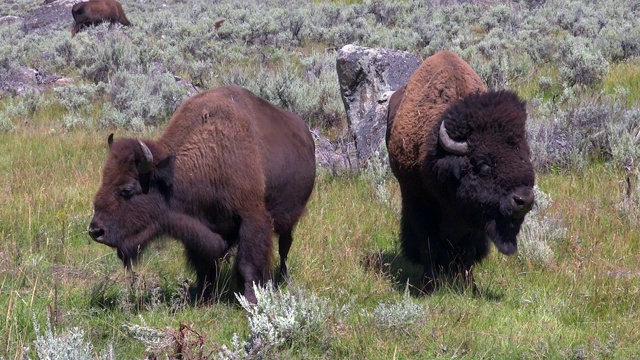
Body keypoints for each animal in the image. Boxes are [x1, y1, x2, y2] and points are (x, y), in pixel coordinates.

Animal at [87, 85, 318, 304]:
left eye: (127, 189)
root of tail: (305, 133)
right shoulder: (195, 227)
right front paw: (203, 295)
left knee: (284, 246)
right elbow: (204, 265)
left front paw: (251, 300)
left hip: (290, 217)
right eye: (104, 180)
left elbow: (248, 264)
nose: (95, 231)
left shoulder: (252, 217)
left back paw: (283, 278)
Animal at [384, 50, 536, 292]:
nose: (524, 200)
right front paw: (429, 285)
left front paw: (469, 286)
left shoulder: (475, 217)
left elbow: (468, 251)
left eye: (524, 155)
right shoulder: (417, 201)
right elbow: (428, 244)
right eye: (483, 164)